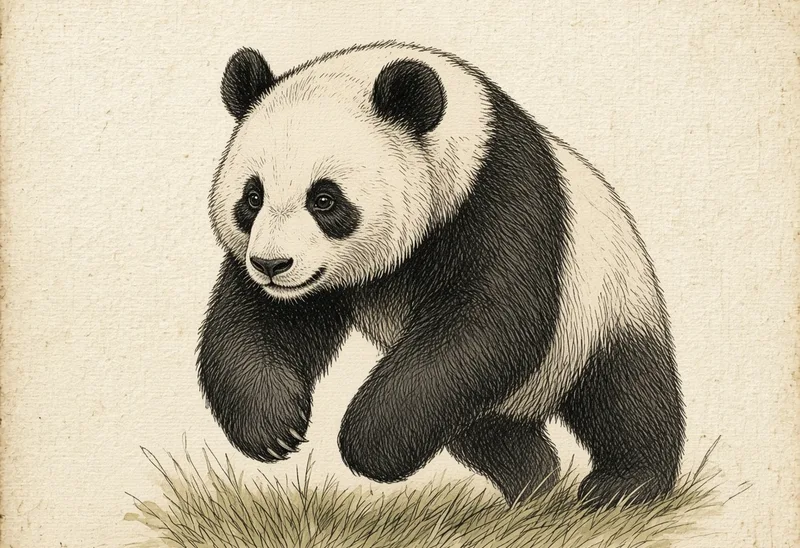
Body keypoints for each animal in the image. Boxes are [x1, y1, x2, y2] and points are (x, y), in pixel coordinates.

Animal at [197, 40, 685, 508]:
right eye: (253, 197)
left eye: (324, 199)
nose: (272, 265)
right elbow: (260, 321)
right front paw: (274, 427)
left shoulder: (501, 194)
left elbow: (490, 319)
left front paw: (372, 443)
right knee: (485, 431)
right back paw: (532, 480)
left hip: (607, 306)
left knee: (627, 395)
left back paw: (622, 485)